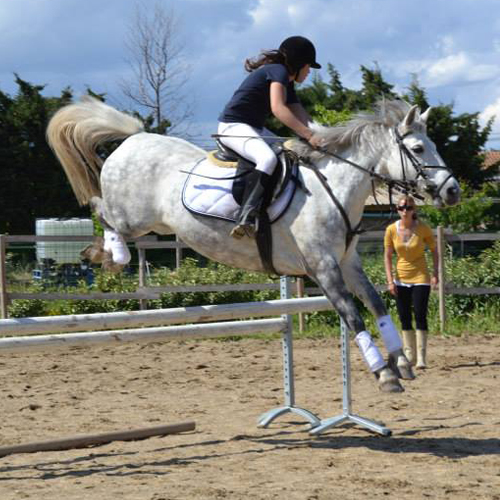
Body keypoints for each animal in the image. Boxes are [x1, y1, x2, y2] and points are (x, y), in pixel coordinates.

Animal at [47, 96, 460, 394]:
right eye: (418, 149)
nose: (452, 191)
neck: (336, 187)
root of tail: (134, 137)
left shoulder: (346, 262)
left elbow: (376, 303)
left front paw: (402, 363)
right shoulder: (322, 266)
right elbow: (353, 314)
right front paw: (384, 374)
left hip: (155, 222)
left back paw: (100, 254)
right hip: (135, 216)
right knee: (102, 209)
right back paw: (111, 255)